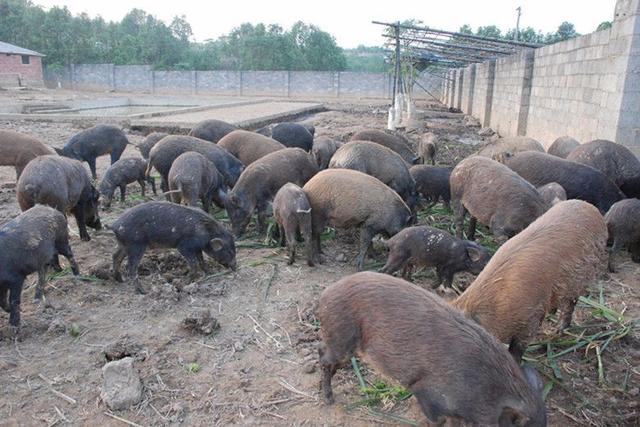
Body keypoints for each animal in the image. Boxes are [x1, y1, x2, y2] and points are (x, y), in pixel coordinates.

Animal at [318, 272, 544, 426]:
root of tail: (326, 293)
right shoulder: (425, 391)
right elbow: (437, 421)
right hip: (341, 337)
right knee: (324, 358)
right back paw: (329, 400)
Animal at [452, 201, 608, 362]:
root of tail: (591, 208)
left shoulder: (531, 317)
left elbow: (518, 348)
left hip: (581, 278)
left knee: (570, 303)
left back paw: (558, 331)